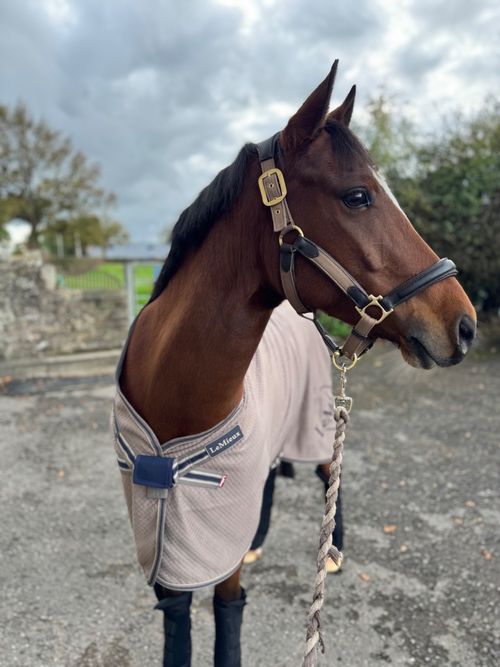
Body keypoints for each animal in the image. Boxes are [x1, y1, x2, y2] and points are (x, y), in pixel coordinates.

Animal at [111, 61, 476, 666]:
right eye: (358, 196)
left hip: (319, 425)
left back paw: (332, 552)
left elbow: (228, 619)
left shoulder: (215, 551)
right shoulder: (166, 544)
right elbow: (178, 625)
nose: (464, 325)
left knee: (330, 475)